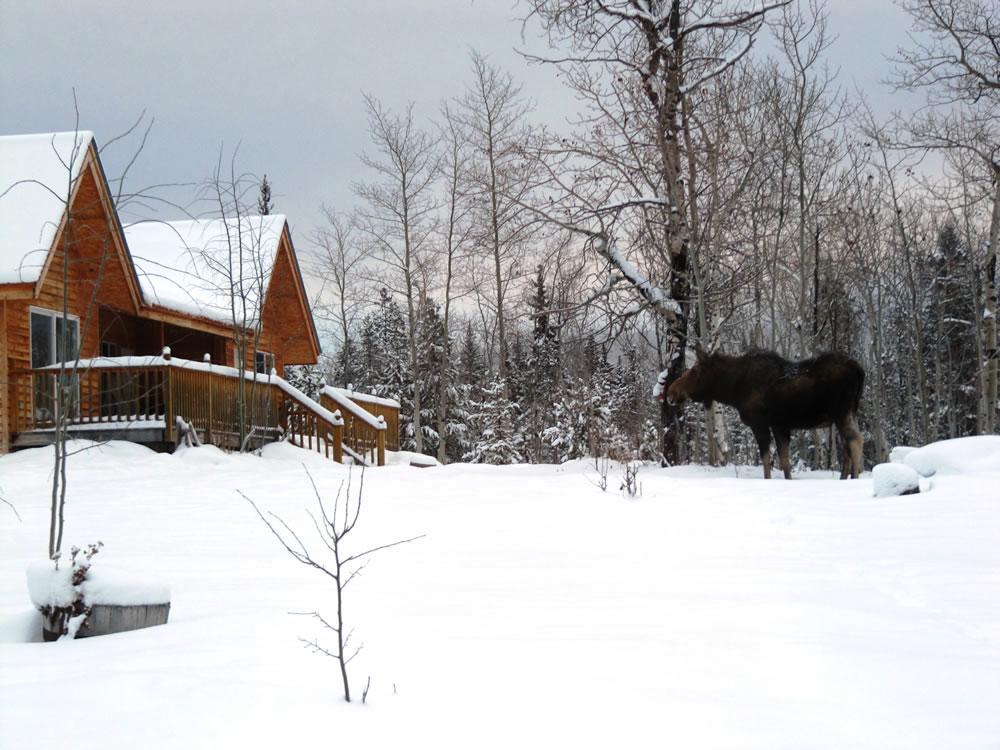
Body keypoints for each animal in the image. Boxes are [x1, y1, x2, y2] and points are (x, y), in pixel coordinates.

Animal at [664, 346, 868, 482]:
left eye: (694, 370)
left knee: (856, 440)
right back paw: (844, 477)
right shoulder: (779, 425)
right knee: (848, 444)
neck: (732, 390)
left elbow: (766, 461)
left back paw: (854, 478)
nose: (671, 393)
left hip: (841, 412)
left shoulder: (759, 423)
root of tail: (860, 370)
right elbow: (785, 461)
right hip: (849, 412)